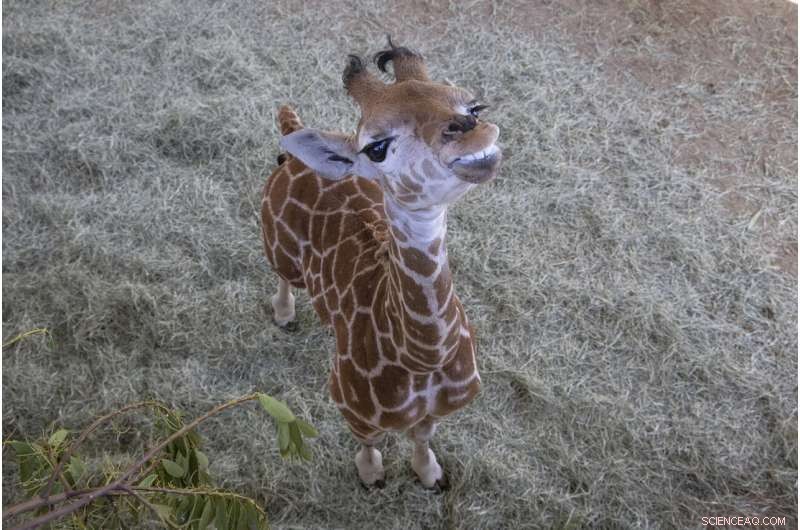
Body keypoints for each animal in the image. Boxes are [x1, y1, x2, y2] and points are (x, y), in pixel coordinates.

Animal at [260, 39, 502, 490]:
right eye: (376, 147)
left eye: (475, 107)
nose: (470, 131)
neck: (422, 360)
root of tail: (290, 136)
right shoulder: (351, 405)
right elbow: (369, 442)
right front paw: (372, 477)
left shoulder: (439, 411)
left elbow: (422, 437)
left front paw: (431, 476)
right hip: (277, 247)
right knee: (283, 278)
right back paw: (285, 317)